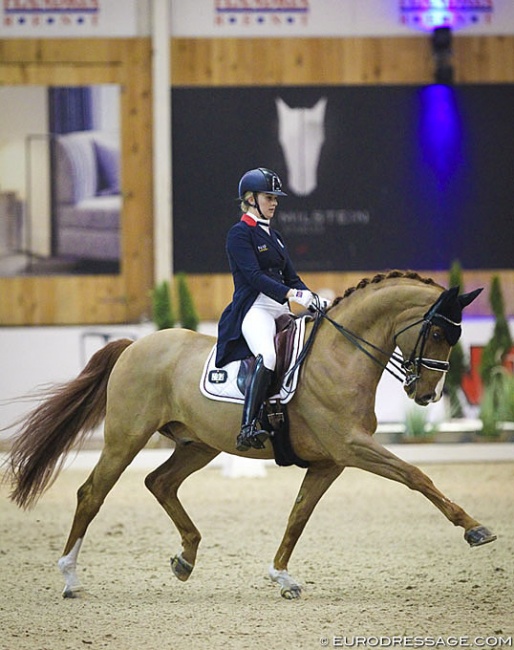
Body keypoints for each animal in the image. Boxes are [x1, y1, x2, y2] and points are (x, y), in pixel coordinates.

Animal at [3, 270, 492, 596]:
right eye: (436, 331)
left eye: (454, 337)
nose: (427, 394)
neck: (341, 354)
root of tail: (135, 345)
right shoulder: (353, 447)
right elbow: (416, 476)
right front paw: (475, 529)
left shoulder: (330, 462)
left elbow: (298, 515)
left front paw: (282, 575)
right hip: (126, 438)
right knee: (92, 494)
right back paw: (70, 576)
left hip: (197, 444)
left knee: (159, 482)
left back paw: (186, 558)